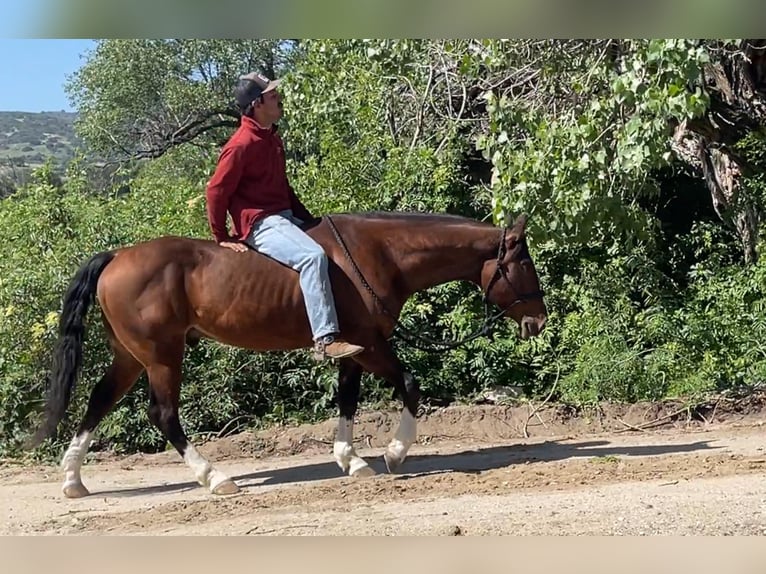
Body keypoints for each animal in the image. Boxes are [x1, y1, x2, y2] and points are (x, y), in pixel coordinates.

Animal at [27, 212, 548, 500]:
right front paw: (394, 453)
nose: (539, 320)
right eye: (524, 262)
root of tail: (117, 256)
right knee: (164, 414)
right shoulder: (372, 345)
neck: (380, 254)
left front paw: (351, 461)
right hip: (161, 357)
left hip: (132, 356)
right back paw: (215, 478)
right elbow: (410, 385)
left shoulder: (353, 350)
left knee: (98, 401)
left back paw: (73, 480)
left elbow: (347, 402)